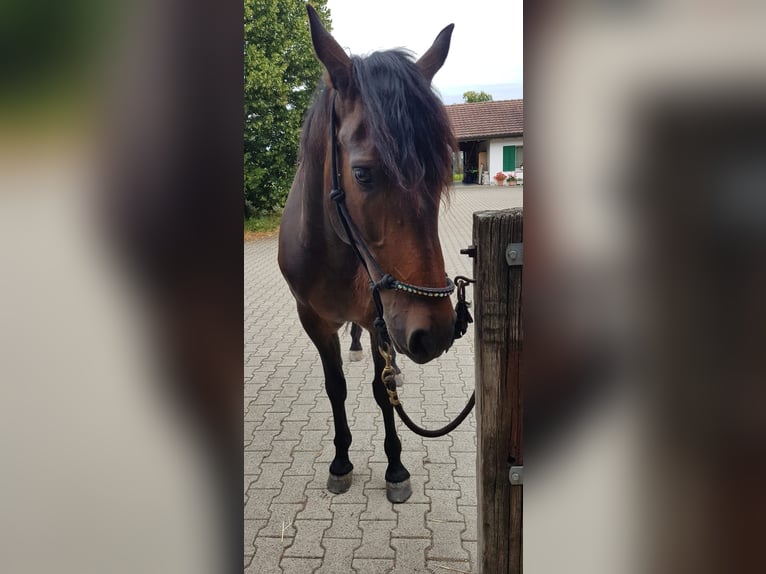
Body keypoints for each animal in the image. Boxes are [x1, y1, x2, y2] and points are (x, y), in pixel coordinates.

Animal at [282, 7, 462, 504]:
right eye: (362, 174)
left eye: (443, 172)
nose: (435, 332)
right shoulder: (313, 320)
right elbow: (335, 388)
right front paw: (341, 461)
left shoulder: (382, 317)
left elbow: (384, 395)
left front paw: (395, 467)